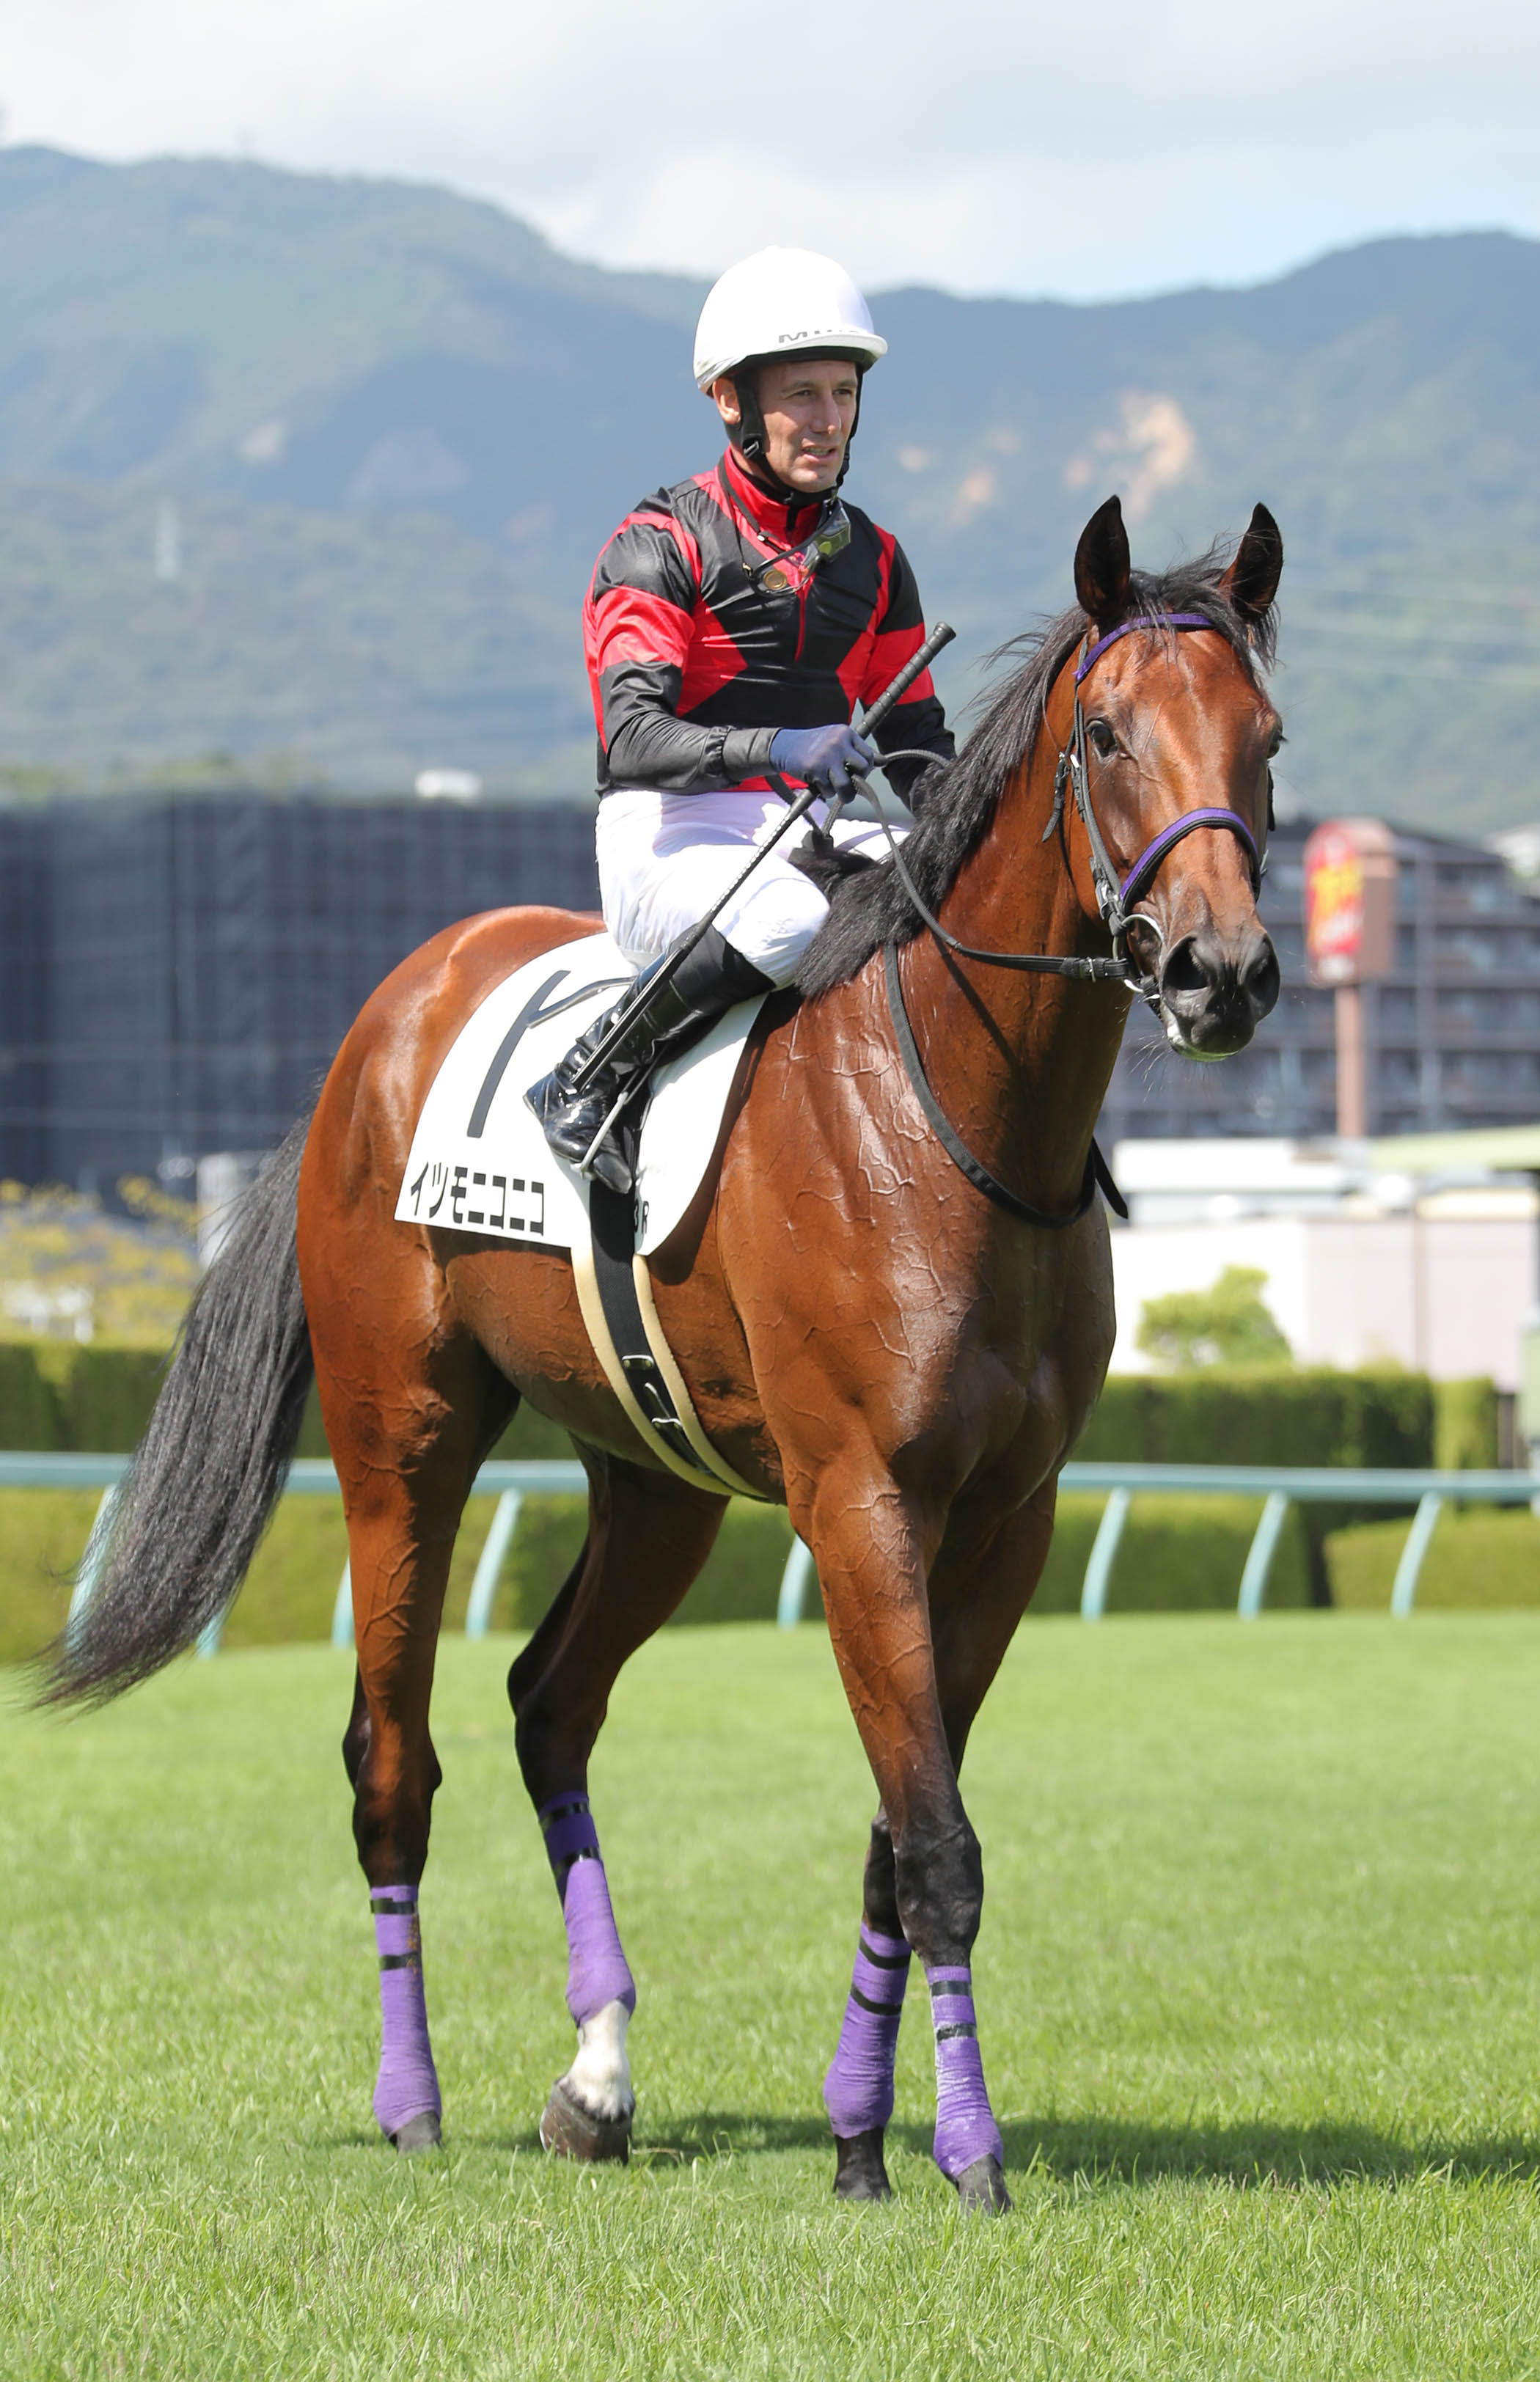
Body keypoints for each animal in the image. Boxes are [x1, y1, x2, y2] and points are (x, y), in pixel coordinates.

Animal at [46, 493, 1284, 2215]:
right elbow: (939, 1844)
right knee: (390, 1758)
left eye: (1267, 738)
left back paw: (597, 2076)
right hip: (400, 1440)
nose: (1219, 972)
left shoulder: (1008, 1522)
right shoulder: (861, 1503)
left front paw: (858, 2131)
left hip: (657, 1480)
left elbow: (897, 1832)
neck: (957, 1120)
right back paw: (413, 2098)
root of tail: (382, 1019)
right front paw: (964, 2149)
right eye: (1106, 735)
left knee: (549, 1703)